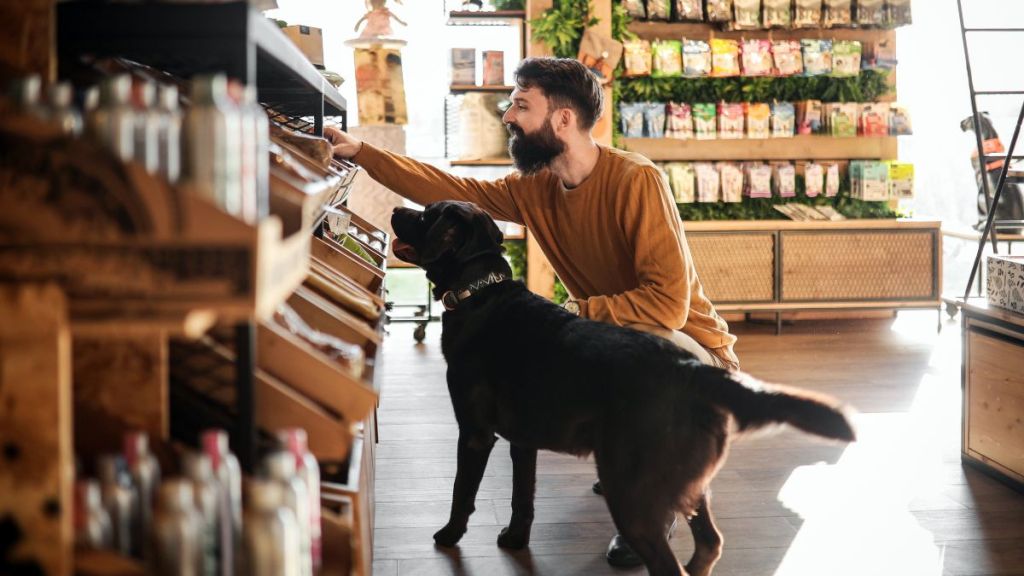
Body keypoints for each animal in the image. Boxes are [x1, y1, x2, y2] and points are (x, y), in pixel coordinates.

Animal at [391, 198, 856, 573]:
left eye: (427, 214)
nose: (395, 209)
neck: (479, 294)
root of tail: (690, 368)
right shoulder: (523, 441)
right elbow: (523, 498)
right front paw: (514, 541)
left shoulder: (475, 433)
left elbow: (461, 491)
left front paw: (448, 535)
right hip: (689, 483)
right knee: (709, 545)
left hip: (631, 491)